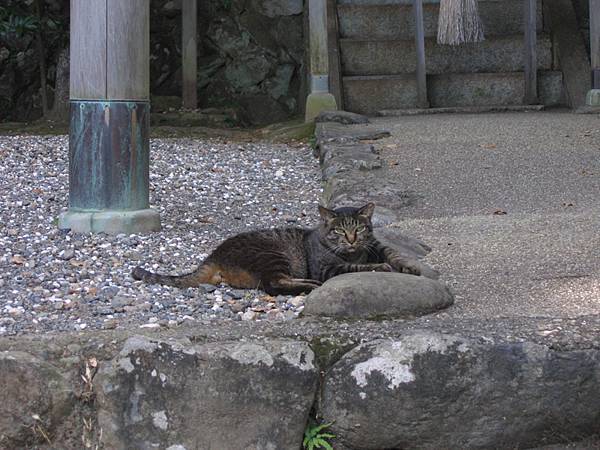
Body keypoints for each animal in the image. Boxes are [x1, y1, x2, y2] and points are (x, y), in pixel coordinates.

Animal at [132, 203, 436, 296]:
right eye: (339, 231)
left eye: (359, 229)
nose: (351, 239)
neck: (355, 251)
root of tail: (214, 254)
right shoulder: (329, 268)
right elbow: (361, 266)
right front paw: (379, 267)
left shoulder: (375, 245)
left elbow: (393, 253)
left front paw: (409, 266)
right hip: (272, 255)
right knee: (273, 284)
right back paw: (308, 285)